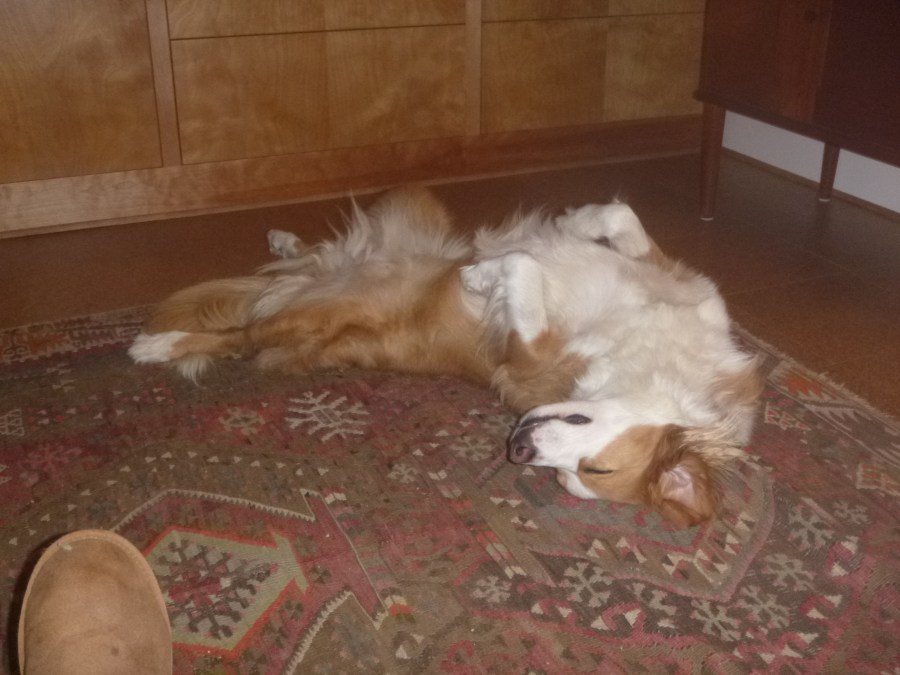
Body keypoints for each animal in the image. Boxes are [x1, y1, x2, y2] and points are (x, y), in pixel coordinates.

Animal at [129, 186, 762, 528]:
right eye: (598, 470)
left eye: (581, 476)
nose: (519, 450)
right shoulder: (672, 278)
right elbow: (617, 218)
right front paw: (570, 222)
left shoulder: (526, 354)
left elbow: (522, 266)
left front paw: (484, 274)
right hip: (412, 207)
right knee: (294, 271)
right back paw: (285, 242)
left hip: (310, 317)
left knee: (241, 335)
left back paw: (158, 344)